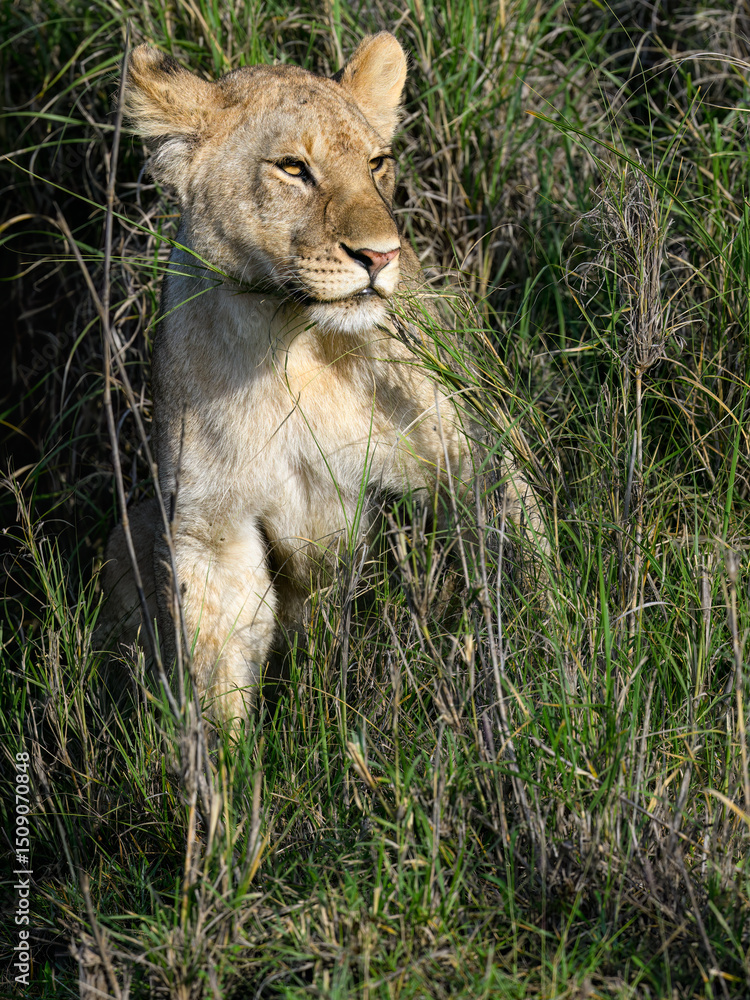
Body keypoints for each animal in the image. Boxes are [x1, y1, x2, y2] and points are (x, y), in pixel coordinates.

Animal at [102, 32, 548, 723]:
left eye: (377, 163)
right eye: (292, 168)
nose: (381, 256)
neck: (292, 341)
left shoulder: (469, 454)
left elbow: (520, 563)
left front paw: (542, 674)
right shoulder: (209, 532)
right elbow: (217, 679)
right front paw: (218, 757)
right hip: (131, 532)